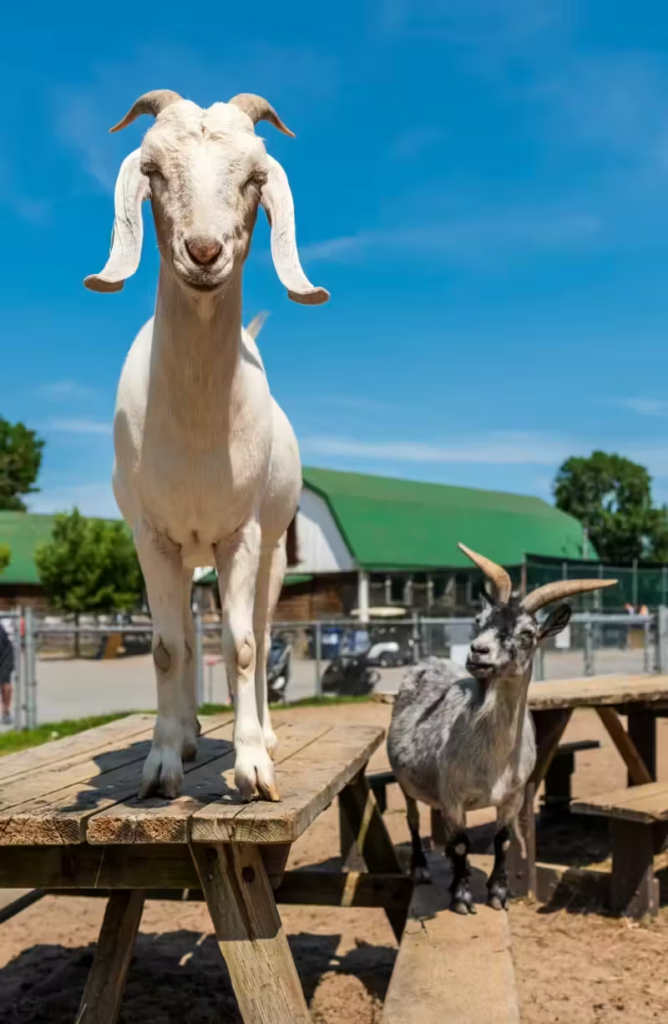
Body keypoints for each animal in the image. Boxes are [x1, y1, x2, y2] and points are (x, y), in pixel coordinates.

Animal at [85, 89, 328, 801]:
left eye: (254, 177)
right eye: (153, 170)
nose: (203, 250)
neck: (198, 424)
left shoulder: (239, 535)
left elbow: (244, 647)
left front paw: (252, 770)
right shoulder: (154, 536)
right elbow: (170, 648)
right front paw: (162, 764)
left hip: (272, 550)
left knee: (263, 633)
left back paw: (264, 735)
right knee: (192, 639)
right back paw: (191, 735)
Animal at [387, 543, 616, 914]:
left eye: (527, 634)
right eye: (479, 622)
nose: (478, 652)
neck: (493, 758)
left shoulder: (512, 796)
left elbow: (503, 841)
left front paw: (498, 894)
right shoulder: (453, 796)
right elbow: (462, 844)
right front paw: (462, 899)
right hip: (405, 780)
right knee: (413, 820)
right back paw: (421, 870)